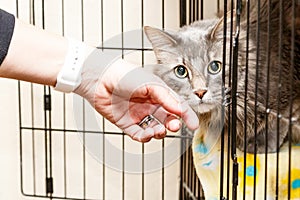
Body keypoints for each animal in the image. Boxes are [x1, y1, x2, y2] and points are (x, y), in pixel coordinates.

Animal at [145, 0, 300, 153]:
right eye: (181, 71)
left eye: (215, 67)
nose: (200, 92)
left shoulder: (287, 94)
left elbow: (276, 120)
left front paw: (258, 144)